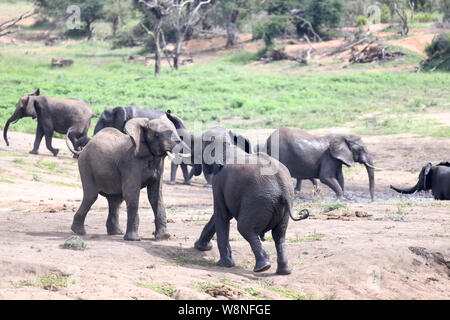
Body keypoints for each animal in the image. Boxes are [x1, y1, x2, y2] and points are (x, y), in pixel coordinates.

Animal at [193, 126, 310, 274]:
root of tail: (282, 185)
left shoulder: (218, 181)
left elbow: (222, 215)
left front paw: (224, 264)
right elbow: (221, 215)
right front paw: (201, 247)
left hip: (258, 200)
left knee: (245, 228)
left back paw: (263, 267)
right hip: (282, 201)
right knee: (279, 234)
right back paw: (284, 271)